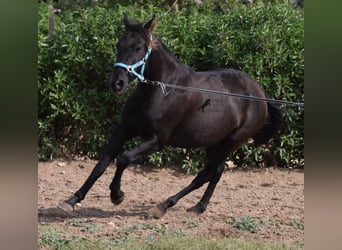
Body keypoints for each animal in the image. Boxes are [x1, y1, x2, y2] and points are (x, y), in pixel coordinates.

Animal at [58, 13, 282, 218]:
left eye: (138, 47)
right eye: (118, 45)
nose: (117, 83)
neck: (161, 91)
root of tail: (260, 94)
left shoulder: (157, 140)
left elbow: (123, 159)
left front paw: (117, 195)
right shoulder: (123, 130)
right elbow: (102, 163)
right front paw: (71, 201)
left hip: (232, 140)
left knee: (204, 174)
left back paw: (163, 206)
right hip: (214, 141)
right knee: (217, 171)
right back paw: (199, 207)